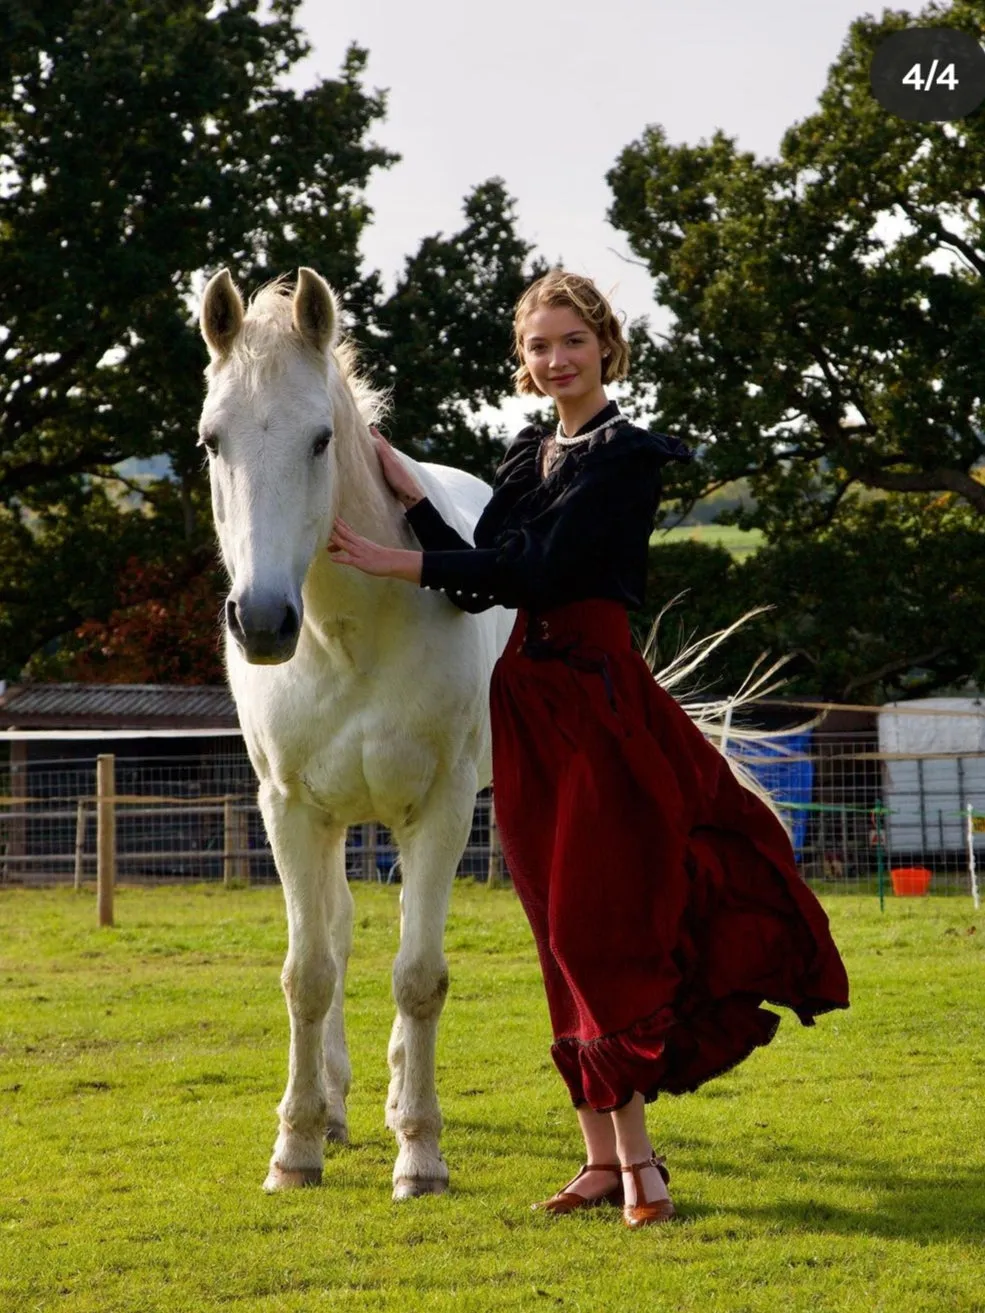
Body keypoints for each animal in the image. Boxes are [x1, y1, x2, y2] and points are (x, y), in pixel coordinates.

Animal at [197, 266, 512, 1202]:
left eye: (319, 438)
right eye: (212, 442)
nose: (263, 621)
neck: (350, 631)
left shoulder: (441, 809)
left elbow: (419, 976)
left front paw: (421, 1153)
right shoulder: (291, 809)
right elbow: (308, 975)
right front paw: (296, 1146)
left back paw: (397, 1101)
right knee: (333, 936)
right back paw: (335, 1108)